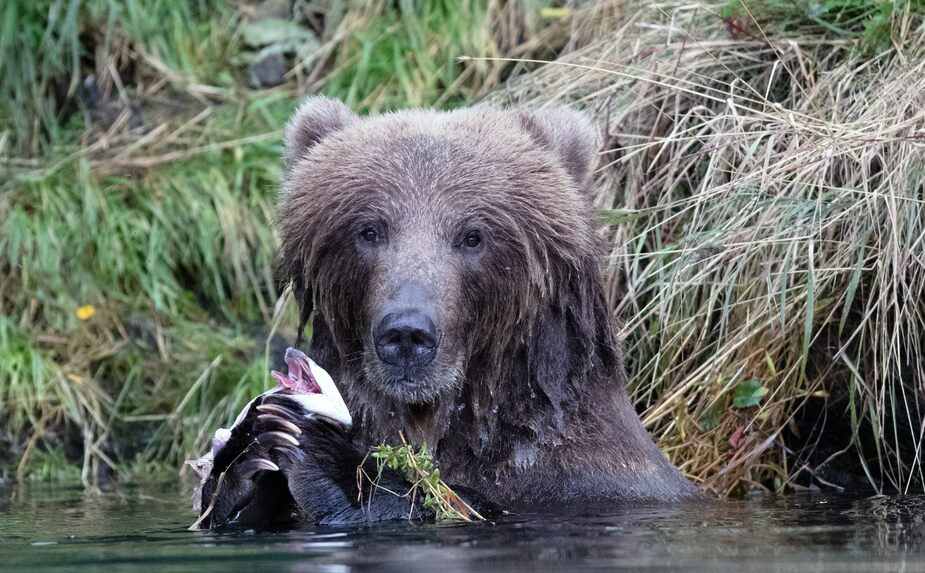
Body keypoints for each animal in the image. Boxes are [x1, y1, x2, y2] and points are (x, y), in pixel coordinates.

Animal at [197, 95, 700, 528]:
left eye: (473, 235)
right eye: (369, 229)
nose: (406, 334)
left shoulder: (586, 478)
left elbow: (453, 501)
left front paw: (321, 452)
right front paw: (243, 461)